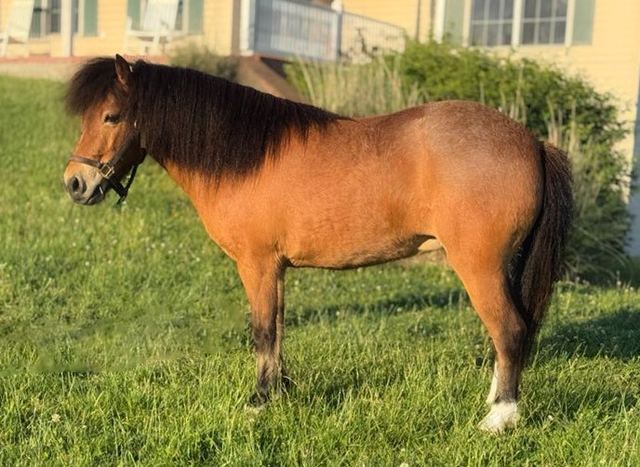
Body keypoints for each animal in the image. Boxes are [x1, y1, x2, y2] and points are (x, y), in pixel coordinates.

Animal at [63, 55, 572, 433]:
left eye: (111, 116)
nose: (75, 184)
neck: (248, 156)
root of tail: (532, 143)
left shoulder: (257, 265)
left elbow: (262, 331)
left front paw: (258, 403)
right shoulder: (277, 269)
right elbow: (278, 330)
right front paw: (280, 393)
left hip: (480, 267)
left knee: (510, 329)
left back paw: (499, 418)